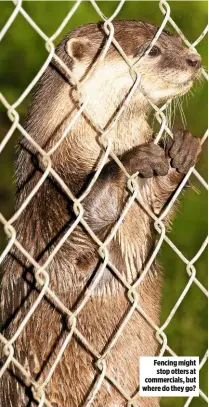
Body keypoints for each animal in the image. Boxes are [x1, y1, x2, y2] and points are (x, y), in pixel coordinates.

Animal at [0, 20, 202, 407]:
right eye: (152, 50)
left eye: (176, 38)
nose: (195, 59)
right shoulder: (46, 210)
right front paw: (129, 161)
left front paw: (180, 150)